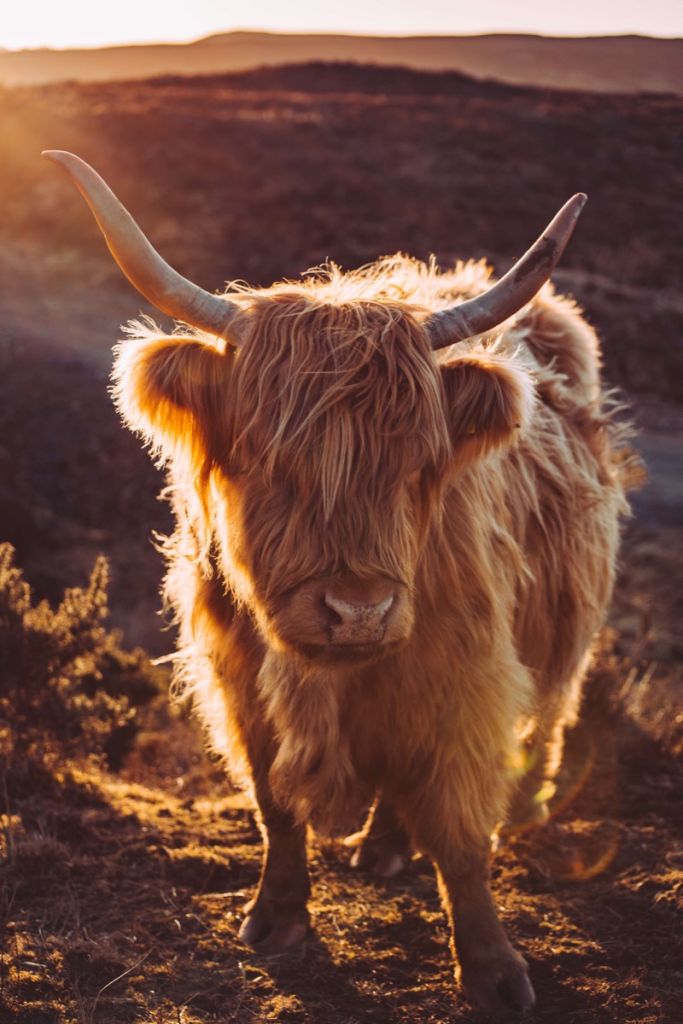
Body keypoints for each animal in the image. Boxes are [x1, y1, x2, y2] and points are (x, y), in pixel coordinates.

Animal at [46, 148, 630, 1011]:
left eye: (421, 465)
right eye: (269, 458)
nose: (357, 613)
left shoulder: (462, 674)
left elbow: (459, 829)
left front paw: (493, 970)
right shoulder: (239, 678)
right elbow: (273, 801)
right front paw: (277, 919)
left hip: (563, 627)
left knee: (548, 712)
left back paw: (511, 810)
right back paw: (381, 843)